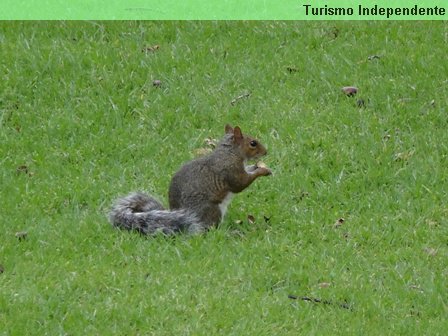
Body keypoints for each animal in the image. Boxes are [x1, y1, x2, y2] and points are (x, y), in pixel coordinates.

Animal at [109, 124, 272, 235]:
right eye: (253, 143)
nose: (266, 152)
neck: (230, 152)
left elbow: (248, 170)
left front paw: (259, 166)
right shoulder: (230, 171)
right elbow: (240, 184)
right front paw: (262, 171)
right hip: (212, 210)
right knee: (209, 229)